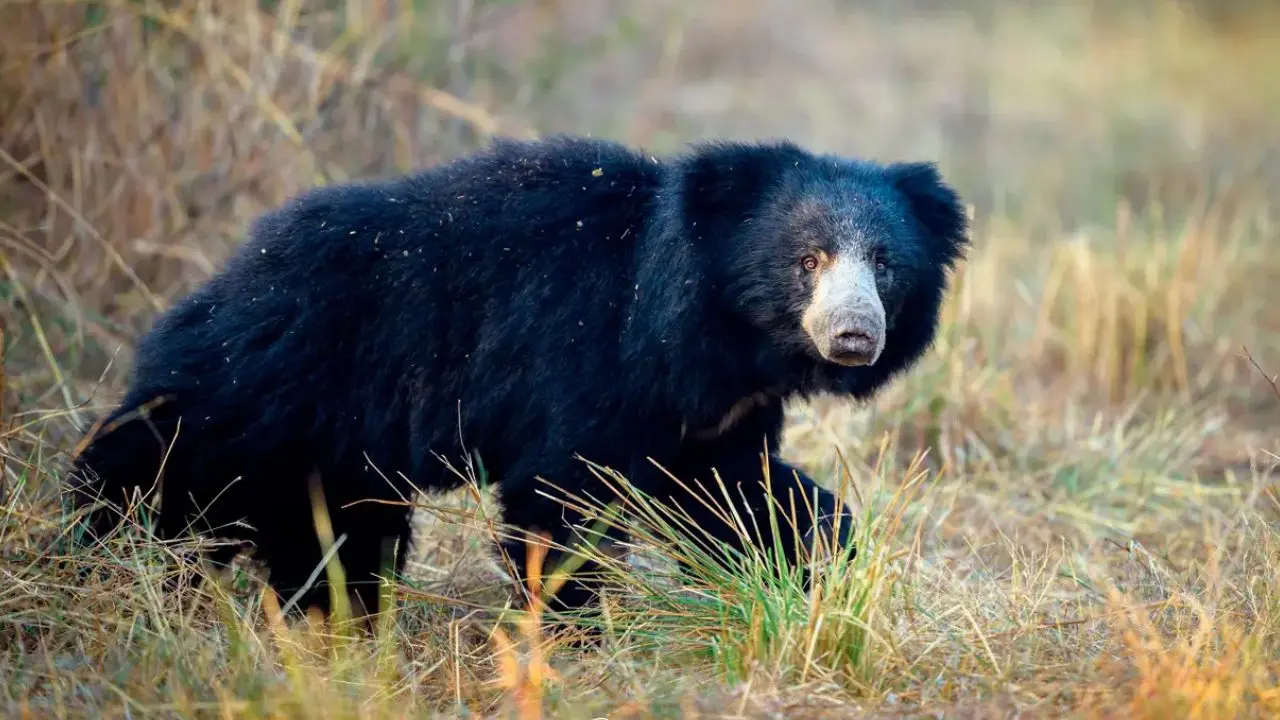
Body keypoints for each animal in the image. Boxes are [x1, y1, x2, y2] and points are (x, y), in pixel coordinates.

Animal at [67, 134, 968, 622]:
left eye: (884, 265)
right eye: (807, 260)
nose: (854, 335)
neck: (715, 334)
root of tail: (231, 271)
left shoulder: (708, 415)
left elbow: (739, 492)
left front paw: (809, 566)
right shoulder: (585, 354)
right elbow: (562, 496)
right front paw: (575, 627)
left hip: (334, 449)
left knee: (339, 534)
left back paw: (336, 613)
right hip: (271, 380)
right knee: (158, 458)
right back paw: (93, 558)